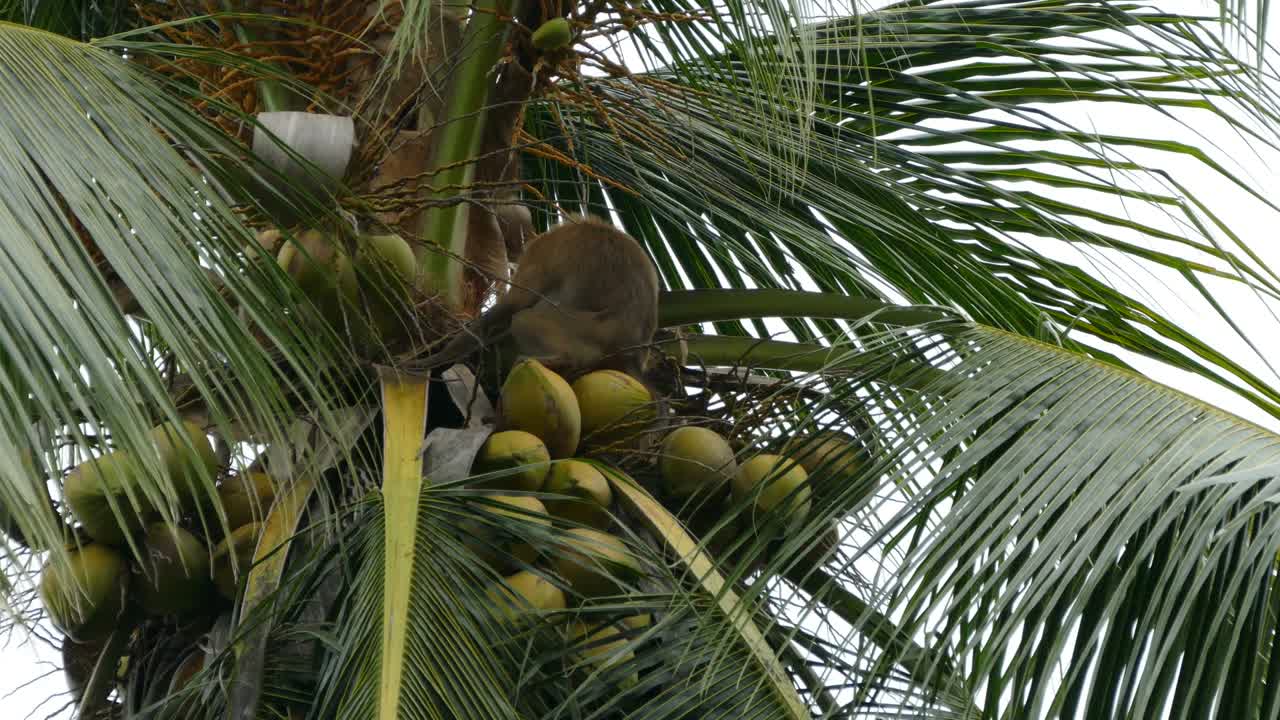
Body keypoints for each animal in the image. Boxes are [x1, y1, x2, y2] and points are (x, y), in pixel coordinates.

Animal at [416, 215, 659, 380]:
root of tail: (631, 352)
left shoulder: (540, 250)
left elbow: (513, 305)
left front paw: (434, 357)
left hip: (584, 330)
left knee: (525, 317)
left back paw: (561, 359)